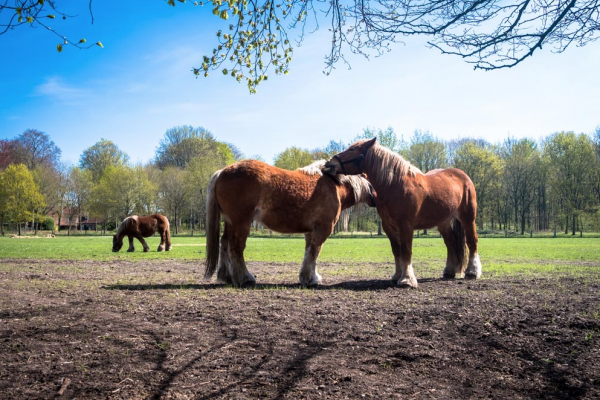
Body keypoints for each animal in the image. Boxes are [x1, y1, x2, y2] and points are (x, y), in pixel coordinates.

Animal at [206, 158, 376, 286]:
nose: (377, 197)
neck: (333, 184)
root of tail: (222, 172)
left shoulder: (311, 231)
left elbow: (309, 252)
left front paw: (308, 276)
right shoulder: (323, 228)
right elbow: (315, 251)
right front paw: (311, 279)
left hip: (230, 222)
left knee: (225, 243)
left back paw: (227, 277)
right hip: (241, 222)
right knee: (236, 247)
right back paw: (245, 278)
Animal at [326, 138, 480, 288]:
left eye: (352, 149)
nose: (329, 163)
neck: (395, 185)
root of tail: (462, 175)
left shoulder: (406, 225)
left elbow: (406, 250)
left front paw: (407, 280)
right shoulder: (389, 226)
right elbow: (397, 251)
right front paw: (397, 276)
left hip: (468, 217)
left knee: (472, 240)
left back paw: (472, 272)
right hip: (443, 222)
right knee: (450, 242)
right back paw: (449, 271)